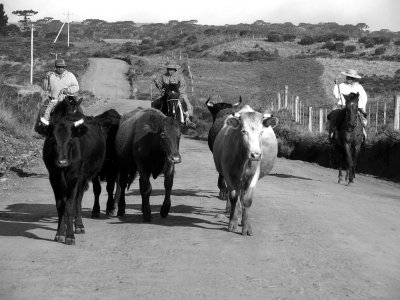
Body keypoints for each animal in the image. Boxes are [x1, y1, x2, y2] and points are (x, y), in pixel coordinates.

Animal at [42, 113, 106, 245]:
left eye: (71, 139)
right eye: (53, 139)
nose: (62, 162)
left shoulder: (74, 178)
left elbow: (70, 206)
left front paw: (70, 236)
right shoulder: (54, 179)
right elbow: (60, 206)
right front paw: (60, 233)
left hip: (82, 179)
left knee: (78, 200)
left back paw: (79, 225)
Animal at [212, 106, 278, 237]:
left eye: (261, 132)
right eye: (243, 131)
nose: (256, 155)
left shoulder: (254, 175)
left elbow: (247, 200)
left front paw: (246, 227)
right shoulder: (227, 174)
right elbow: (233, 197)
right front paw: (233, 222)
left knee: (242, 198)